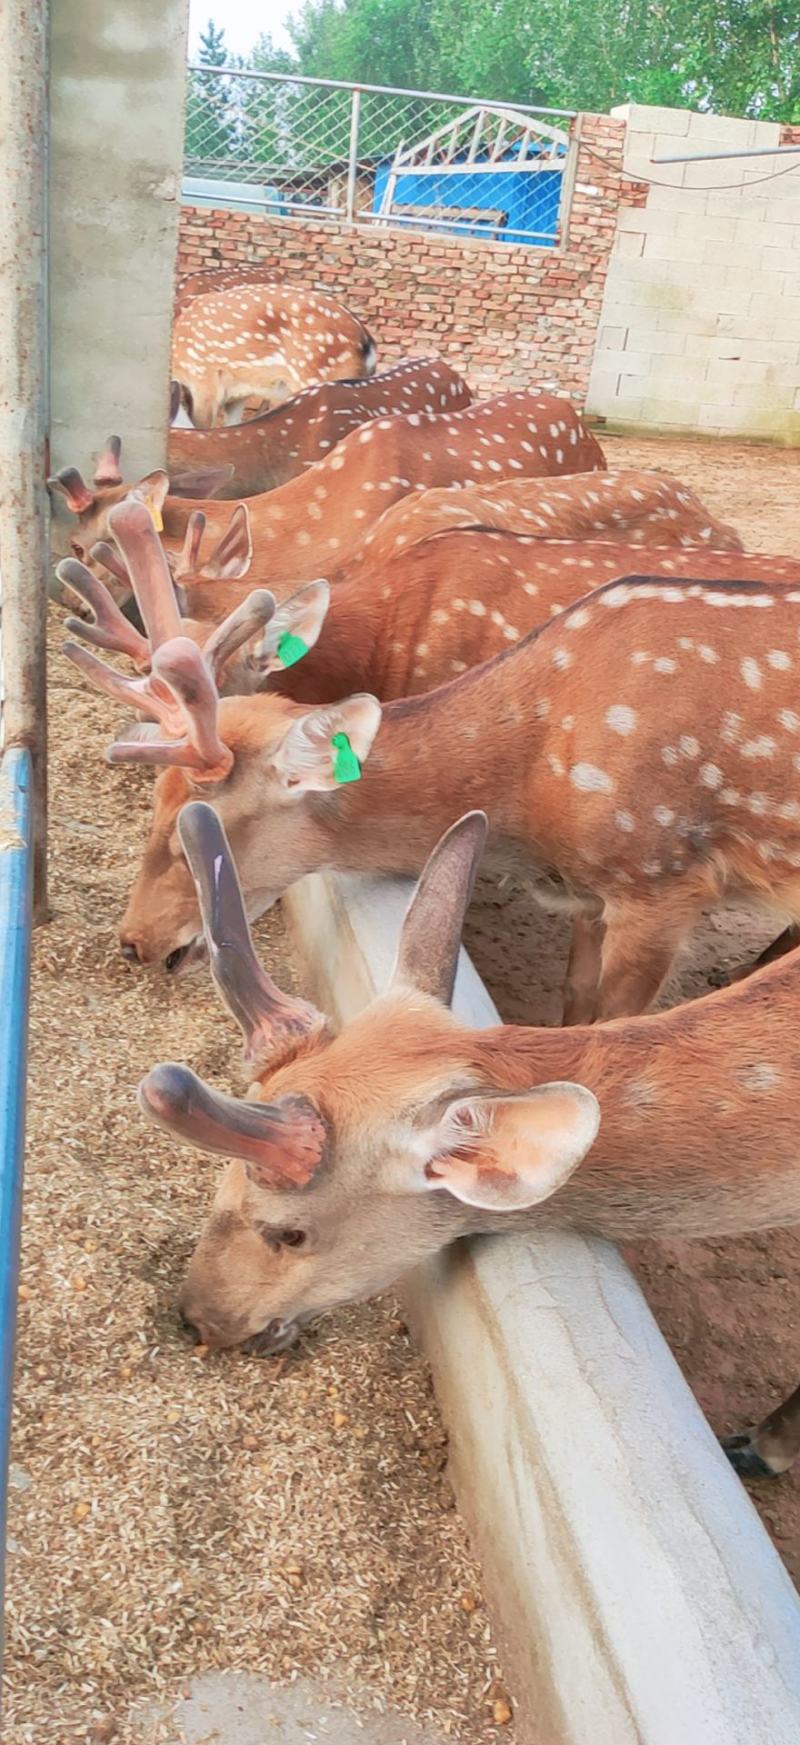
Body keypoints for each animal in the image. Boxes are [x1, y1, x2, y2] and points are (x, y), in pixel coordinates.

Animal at [64, 501, 800, 1022]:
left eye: (197, 830)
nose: (134, 940)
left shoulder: (660, 876)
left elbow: (611, 1025)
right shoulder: (593, 892)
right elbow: (573, 1001)